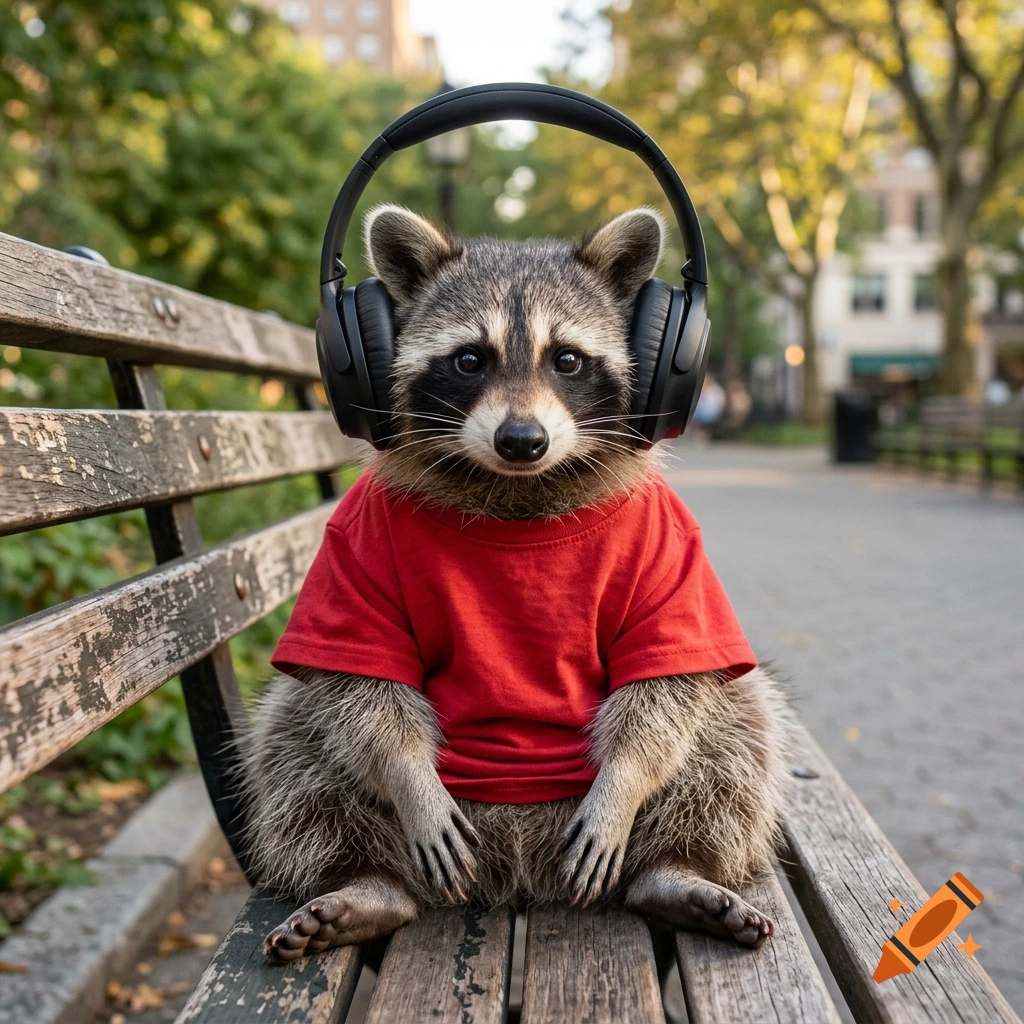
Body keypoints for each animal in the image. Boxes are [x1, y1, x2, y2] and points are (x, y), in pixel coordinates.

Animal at [244, 205, 792, 963]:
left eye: (567, 360)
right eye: (470, 359)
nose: (522, 440)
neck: (518, 493)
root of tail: (518, 872)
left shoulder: (669, 543)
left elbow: (668, 687)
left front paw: (624, 781)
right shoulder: (355, 542)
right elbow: (362, 689)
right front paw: (410, 778)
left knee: (736, 723)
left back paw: (678, 868)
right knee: (297, 737)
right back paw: (365, 881)